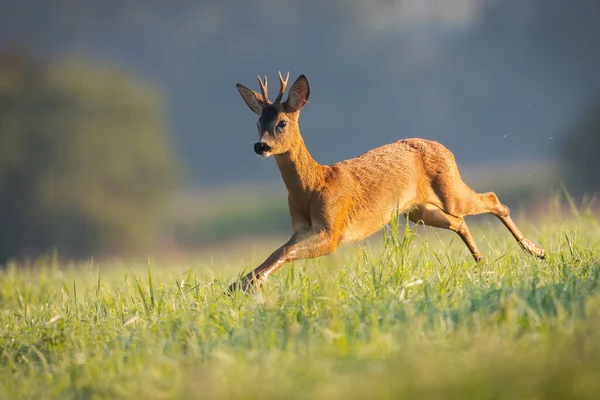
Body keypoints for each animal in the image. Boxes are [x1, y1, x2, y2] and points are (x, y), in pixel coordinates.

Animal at [231, 72, 548, 290]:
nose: (260, 146)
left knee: (491, 199)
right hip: (418, 211)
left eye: (282, 123)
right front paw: (241, 284)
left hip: (449, 189)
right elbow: (279, 250)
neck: (313, 187)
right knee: (459, 222)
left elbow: (287, 251)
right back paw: (482, 261)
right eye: (258, 123)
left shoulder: (333, 230)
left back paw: (536, 250)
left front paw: (250, 283)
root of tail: (445, 147)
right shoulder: (301, 229)